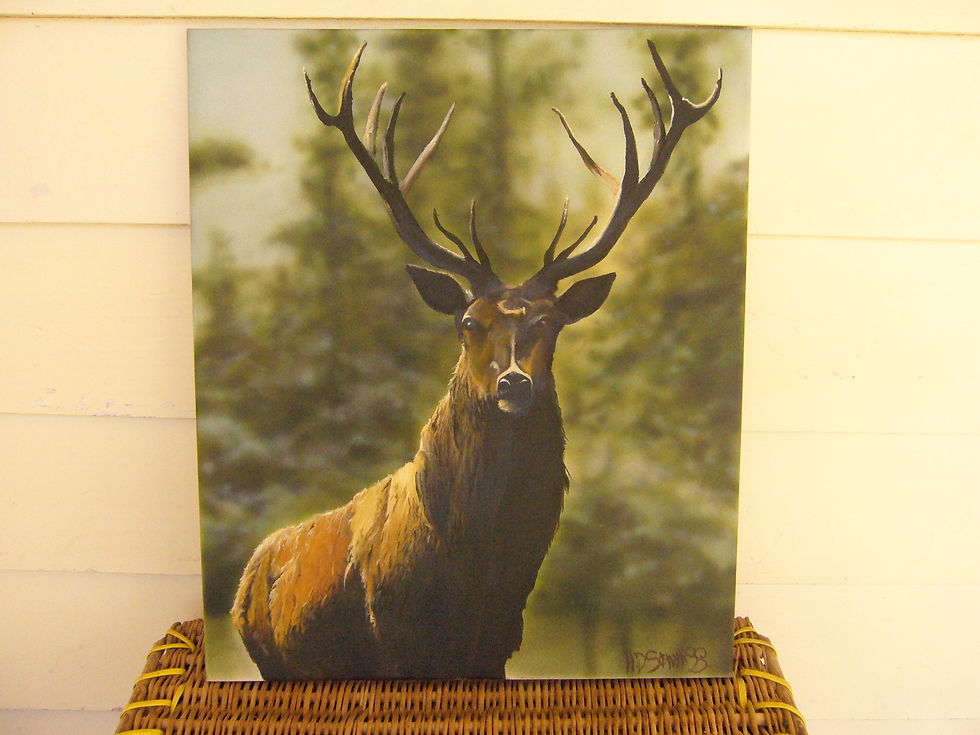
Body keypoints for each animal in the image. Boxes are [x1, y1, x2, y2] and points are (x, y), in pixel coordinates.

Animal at [231, 39, 721, 680]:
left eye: (551, 322)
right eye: (468, 324)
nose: (514, 384)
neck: (479, 568)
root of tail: (244, 582)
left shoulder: (496, 644)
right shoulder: (397, 642)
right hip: (275, 661)